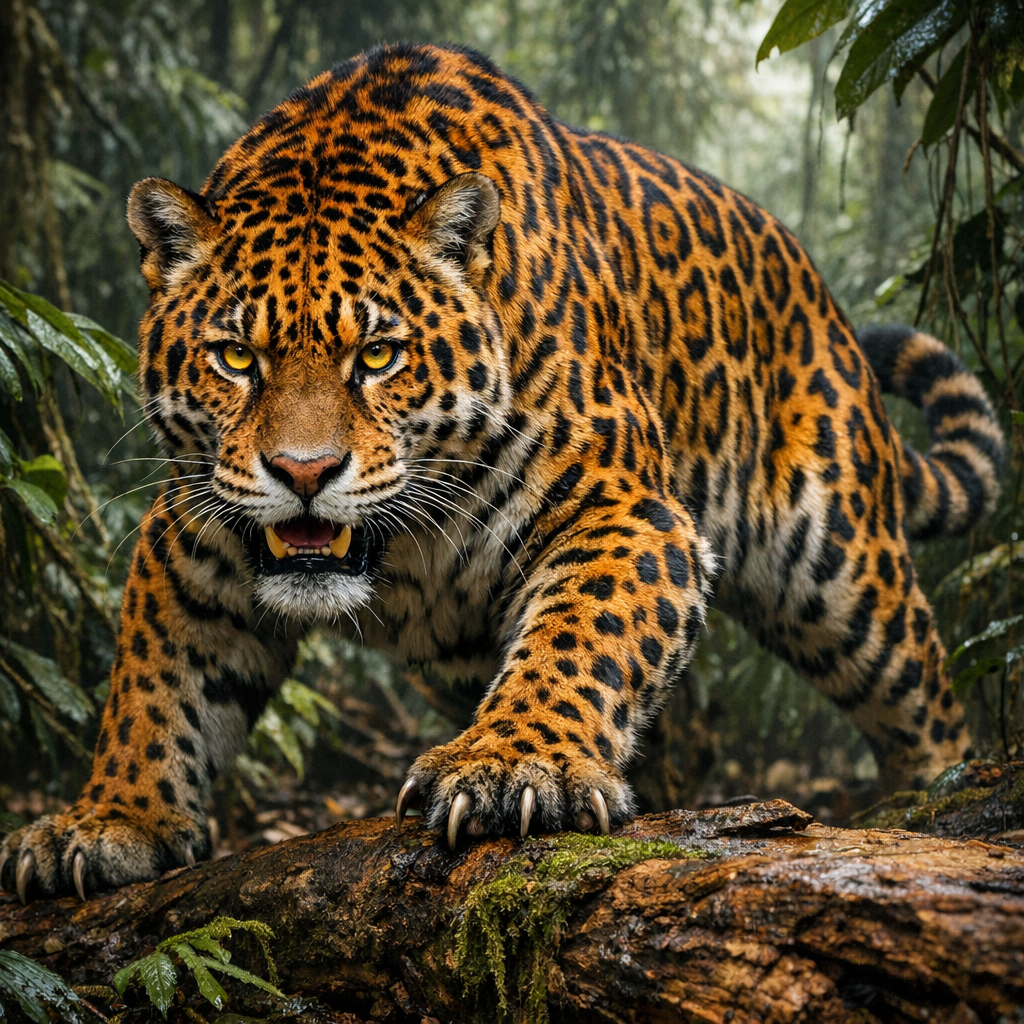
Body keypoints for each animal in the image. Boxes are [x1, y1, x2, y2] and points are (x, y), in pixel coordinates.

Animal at [1, 42, 1004, 902]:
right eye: (236, 358)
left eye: (378, 355)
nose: (302, 471)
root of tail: (822, 300)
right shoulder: (190, 538)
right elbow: (153, 689)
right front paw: (110, 821)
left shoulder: (624, 511)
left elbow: (582, 634)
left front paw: (513, 763)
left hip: (842, 569)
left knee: (921, 695)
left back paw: (942, 798)